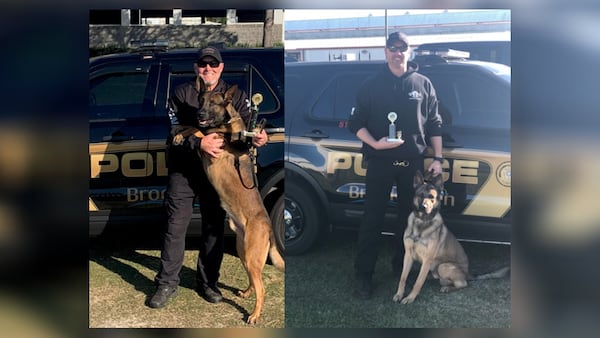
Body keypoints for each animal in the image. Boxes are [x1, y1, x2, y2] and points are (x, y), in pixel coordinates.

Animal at [172, 83, 284, 324]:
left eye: (213, 103)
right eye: (201, 100)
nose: (200, 113)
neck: (226, 123)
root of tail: (269, 226)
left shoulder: (213, 145)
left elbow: (199, 132)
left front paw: (186, 133)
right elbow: (191, 126)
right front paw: (177, 132)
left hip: (251, 255)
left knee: (262, 288)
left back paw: (254, 314)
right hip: (244, 253)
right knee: (255, 279)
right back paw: (247, 292)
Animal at [392, 170, 508, 304]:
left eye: (432, 197)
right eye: (420, 195)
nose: (424, 207)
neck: (422, 222)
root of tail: (467, 273)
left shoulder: (427, 259)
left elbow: (418, 282)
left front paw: (410, 297)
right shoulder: (408, 255)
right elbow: (403, 278)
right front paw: (399, 294)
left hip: (443, 266)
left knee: (463, 284)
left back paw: (447, 287)